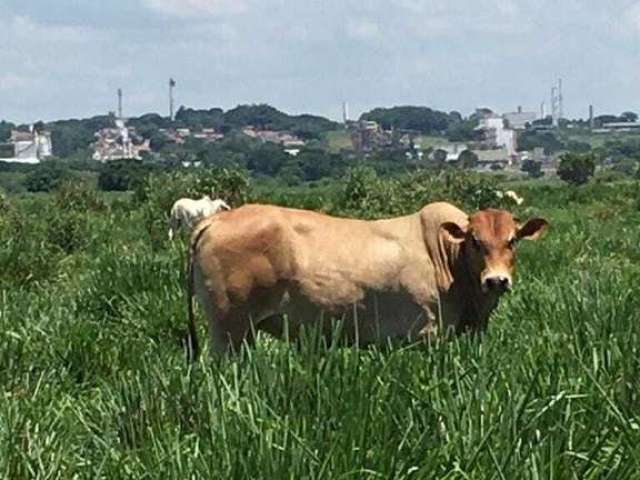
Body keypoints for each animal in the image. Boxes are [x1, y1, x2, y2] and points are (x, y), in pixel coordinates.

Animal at [184, 201, 544, 358]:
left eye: (512, 240)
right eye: (475, 241)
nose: (496, 281)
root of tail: (215, 221)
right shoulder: (428, 333)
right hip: (228, 329)